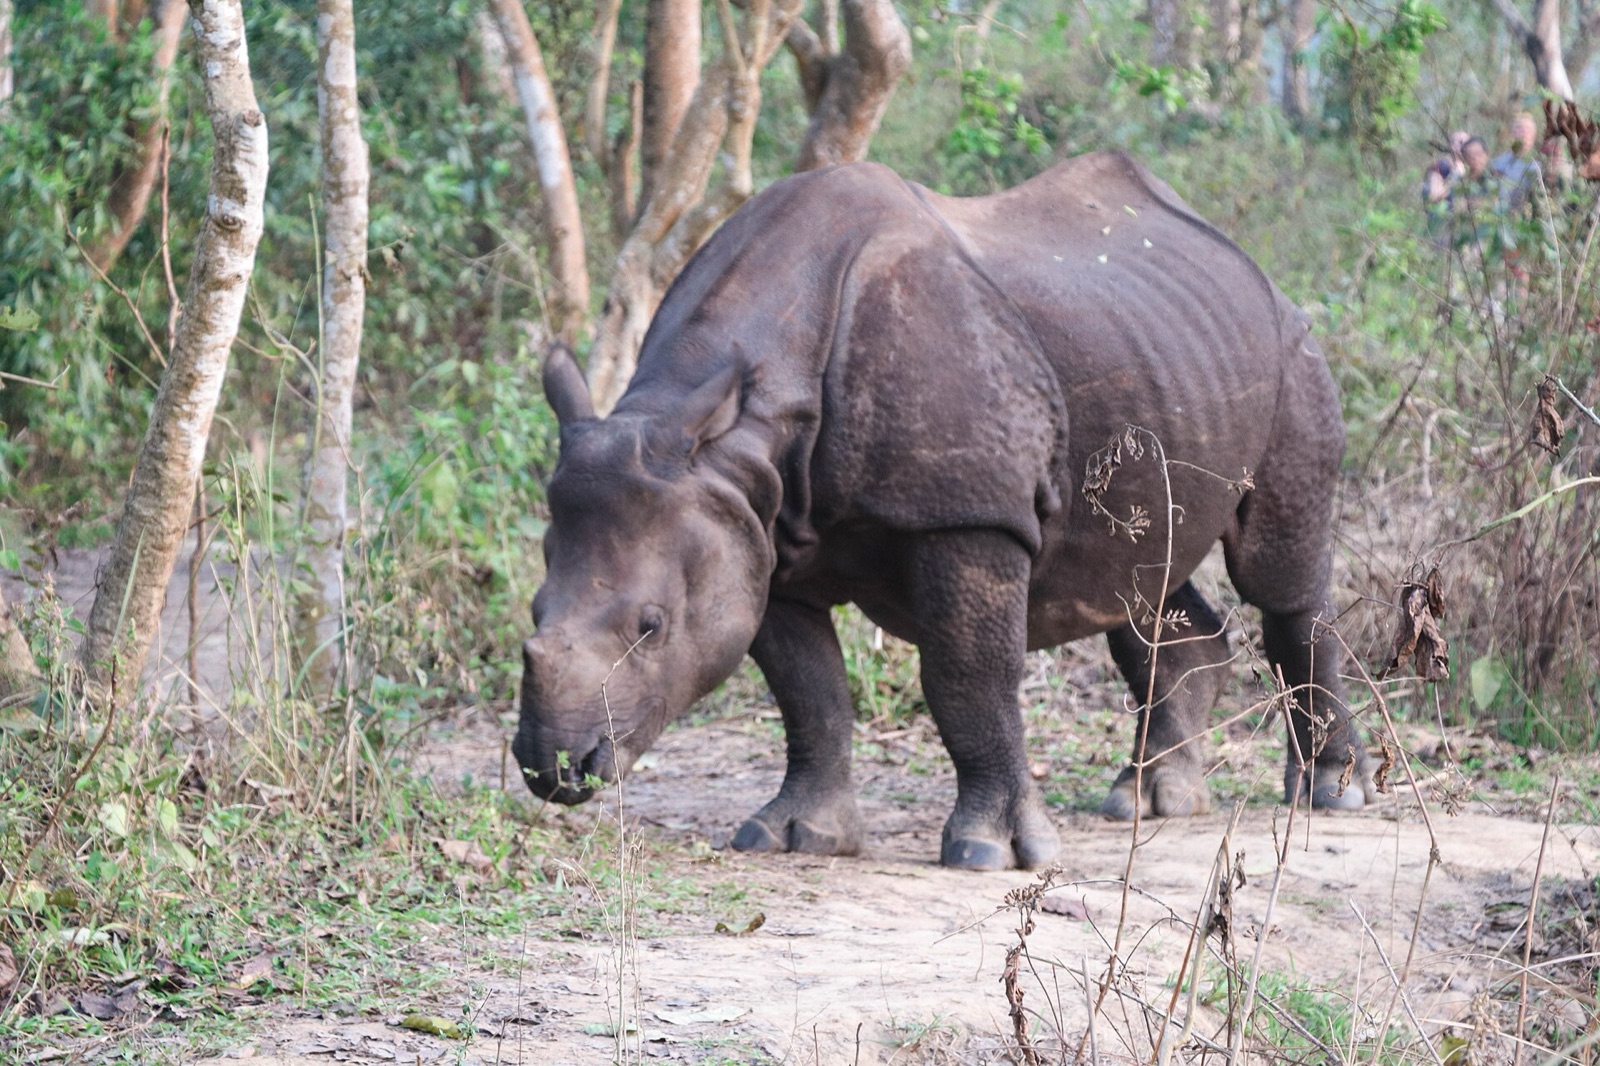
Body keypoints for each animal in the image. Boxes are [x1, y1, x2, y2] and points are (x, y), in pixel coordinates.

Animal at [513, 151, 1377, 870]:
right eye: (532, 607)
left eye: (650, 627)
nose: (553, 768)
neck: (739, 422)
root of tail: (1254, 267)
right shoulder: (755, 528)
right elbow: (807, 690)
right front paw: (796, 836)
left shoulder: (967, 516)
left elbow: (968, 677)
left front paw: (991, 853)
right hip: (1162, 352)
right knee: (1137, 578)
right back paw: (1151, 800)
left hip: (1293, 350)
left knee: (1276, 577)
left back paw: (1332, 793)